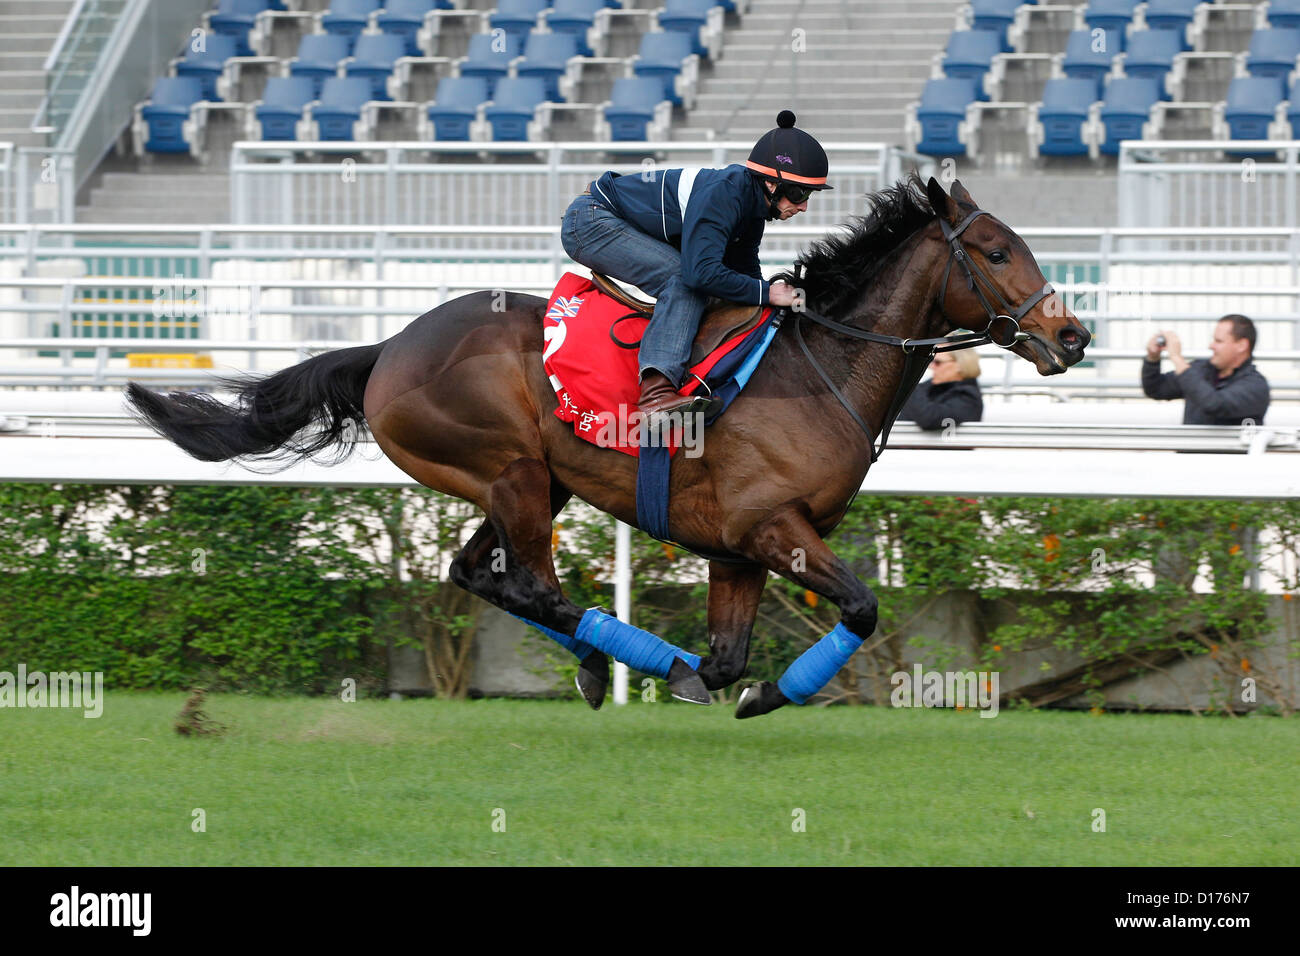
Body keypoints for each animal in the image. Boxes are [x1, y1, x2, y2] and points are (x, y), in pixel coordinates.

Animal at [126, 175, 1092, 723]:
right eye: (995, 250)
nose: (1072, 335)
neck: (821, 365)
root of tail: (389, 346)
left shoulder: (738, 548)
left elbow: (729, 653)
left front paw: (724, 681)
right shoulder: (772, 527)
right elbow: (856, 609)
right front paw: (756, 695)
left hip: (529, 485)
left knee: (479, 575)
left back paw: (605, 659)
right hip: (510, 470)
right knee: (530, 587)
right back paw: (604, 662)